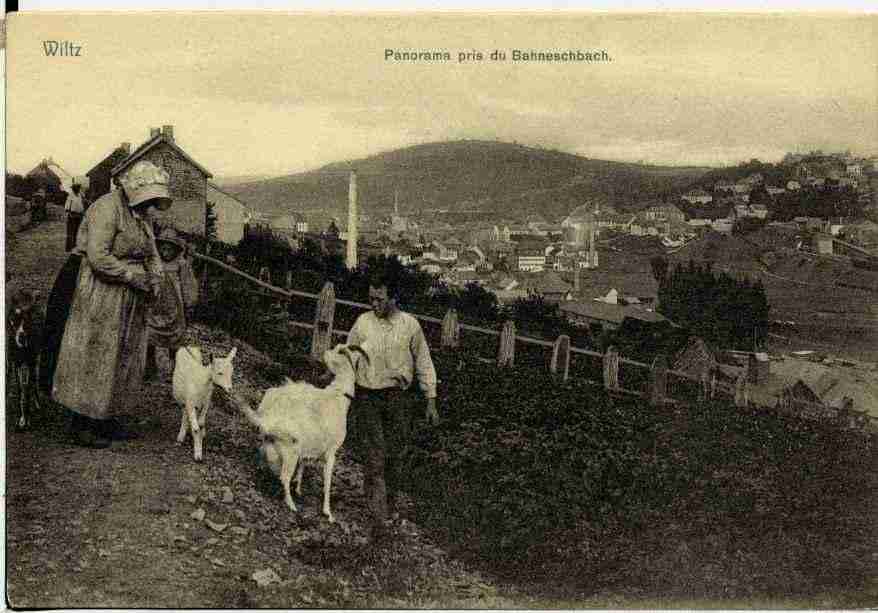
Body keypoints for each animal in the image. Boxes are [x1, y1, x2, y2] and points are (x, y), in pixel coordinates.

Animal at [6, 288, 42, 428]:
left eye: (27, 321)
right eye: (13, 320)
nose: (21, 338)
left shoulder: (31, 363)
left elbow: (27, 388)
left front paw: (26, 419)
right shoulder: (16, 363)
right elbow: (20, 388)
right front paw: (21, 418)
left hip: (36, 360)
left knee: (34, 381)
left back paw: (37, 403)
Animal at [229, 342, 370, 520]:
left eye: (337, 351)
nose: (324, 352)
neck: (337, 395)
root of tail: (269, 421)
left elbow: (304, 463)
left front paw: (299, 488)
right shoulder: (331, 453)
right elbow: (327, 481)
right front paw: (328, 513)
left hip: (271, 445)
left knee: (263, 458)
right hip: (291, 452)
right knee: (284, 476)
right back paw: (291, 505)